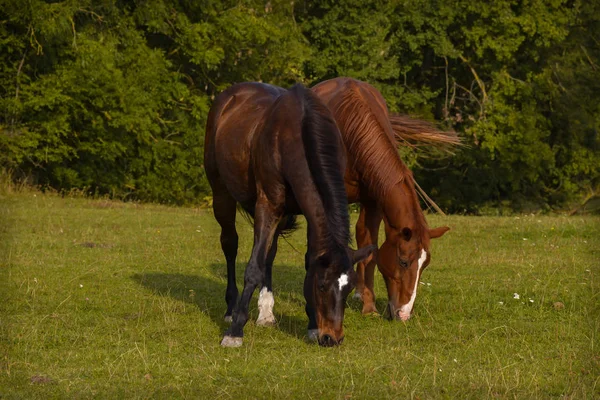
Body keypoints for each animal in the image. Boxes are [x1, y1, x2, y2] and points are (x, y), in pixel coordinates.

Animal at [206, 82, 376, 346]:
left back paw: (266, 313)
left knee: (269, 253)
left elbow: (306, 259)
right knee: (230, 244)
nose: (333, 338)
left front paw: (313, 325)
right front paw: (235, 330)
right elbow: (253, 267)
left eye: (349, 289)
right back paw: (230, 309)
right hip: (221, 192)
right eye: (322, 286)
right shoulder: (267, 204)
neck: (293, 136)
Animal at [310, 78, 450, 322]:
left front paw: (369, 306)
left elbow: (370, 253)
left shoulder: (374, 203)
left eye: (425, 265)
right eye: (403, 261)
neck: (352, 132)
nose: (404, 314)